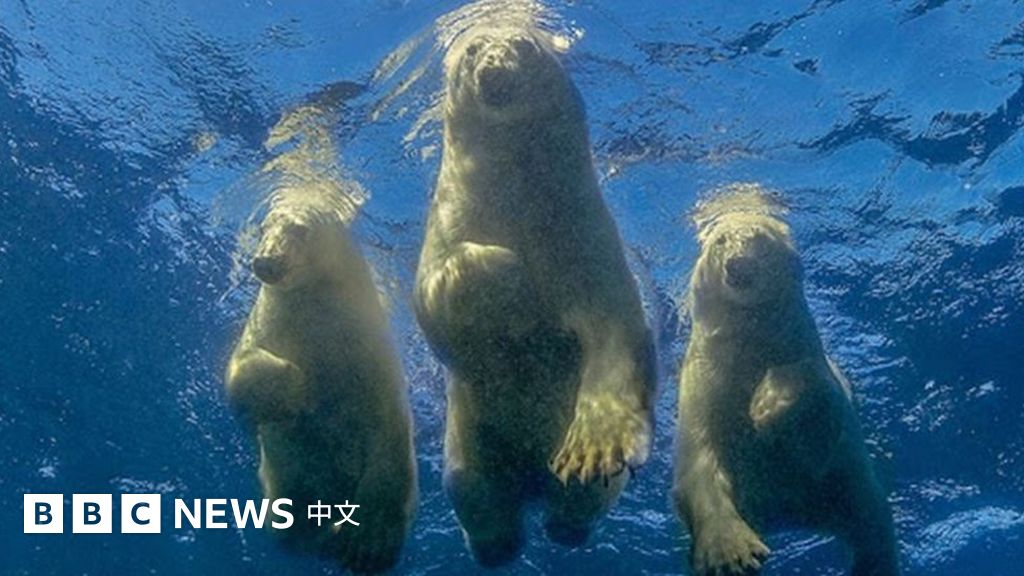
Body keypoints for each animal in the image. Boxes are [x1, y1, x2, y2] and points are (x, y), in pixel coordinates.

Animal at [225, 187, 417, 575]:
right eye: (264, 226)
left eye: (300, 229)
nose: (265, 261)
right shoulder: (272, 324)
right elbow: (241, 373)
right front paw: (295, 391)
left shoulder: (372, 359)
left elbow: (387, 438)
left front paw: (371, 544)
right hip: (284, 484)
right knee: (290, 525)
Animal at [413, 22, 657, 567]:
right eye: (472, 50)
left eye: (524, 46)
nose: (494, 71)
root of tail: (529, 483)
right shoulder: (451, 219)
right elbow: (437, 301)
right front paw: (514, 282)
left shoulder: (582, 234)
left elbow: (615, 329)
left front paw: (592, 445)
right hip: (469, 441)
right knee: (473, 490)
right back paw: (498, 544)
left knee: (582, 497)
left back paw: (565, 523)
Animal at [671, 184, 899, 576]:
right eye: (720, 240)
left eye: (761, 238)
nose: (738, 265)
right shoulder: (703, 386)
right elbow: (699, 467)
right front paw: (733, 551)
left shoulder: (804, 357)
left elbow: (816, 432)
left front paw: (766, 404)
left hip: (845, 489)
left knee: (872, 527)